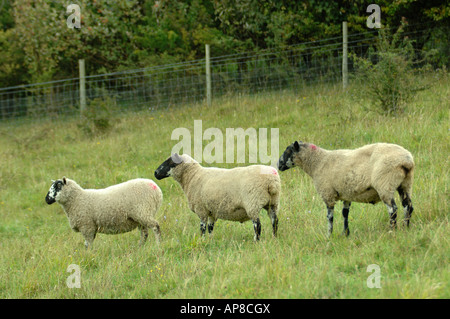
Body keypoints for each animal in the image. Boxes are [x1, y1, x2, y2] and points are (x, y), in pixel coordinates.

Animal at [278, 141, 414, 236]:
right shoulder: (346, 194)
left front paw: (329, 235)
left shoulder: (328, 194)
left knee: (393, 209)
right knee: (408, 206)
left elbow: (330, 217)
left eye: (289, 151)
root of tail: (407, 160)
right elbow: (345, 214)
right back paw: (406, 227)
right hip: (405, 184)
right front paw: (345, 233)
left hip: (385, 184)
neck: (318, 162)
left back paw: (392, 231)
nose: (278, 164)